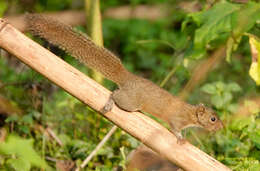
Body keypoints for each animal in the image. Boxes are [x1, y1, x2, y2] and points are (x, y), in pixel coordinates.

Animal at [24, 13, 223, 143]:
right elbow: (174, 129)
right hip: (131, 102)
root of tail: (127, 77)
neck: (189, 113)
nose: (222, 127)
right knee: (114, 93)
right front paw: (181, 138)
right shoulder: (176, 119)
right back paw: (109, 104)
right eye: (213, 119)